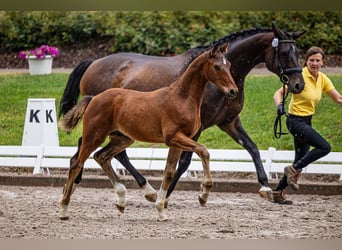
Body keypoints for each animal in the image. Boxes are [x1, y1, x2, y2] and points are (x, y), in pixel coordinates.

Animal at [58, 43, 238, 221]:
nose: (233, 91)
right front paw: (204, 195)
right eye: (216, 67)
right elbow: (203, 151)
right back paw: (64, 209)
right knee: (77, 162)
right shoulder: (174, 137)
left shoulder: (178, 141)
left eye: (229, 65)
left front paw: (161, 210)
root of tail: (93, 98)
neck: (183, 98)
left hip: (122, 138)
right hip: (95, 135)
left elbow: (169, 172)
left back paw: (121, 200)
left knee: (101, 156)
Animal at [60, 23, 306, 203]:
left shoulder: (229, 122)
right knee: (100, 150)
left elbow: (252, 148)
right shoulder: (197, 128)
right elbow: (186, 160)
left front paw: (266, 187)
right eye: (285, 52)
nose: (298, 85)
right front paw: (168, 194)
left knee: (106, 151)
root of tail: (94, 62)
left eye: (298, 52)